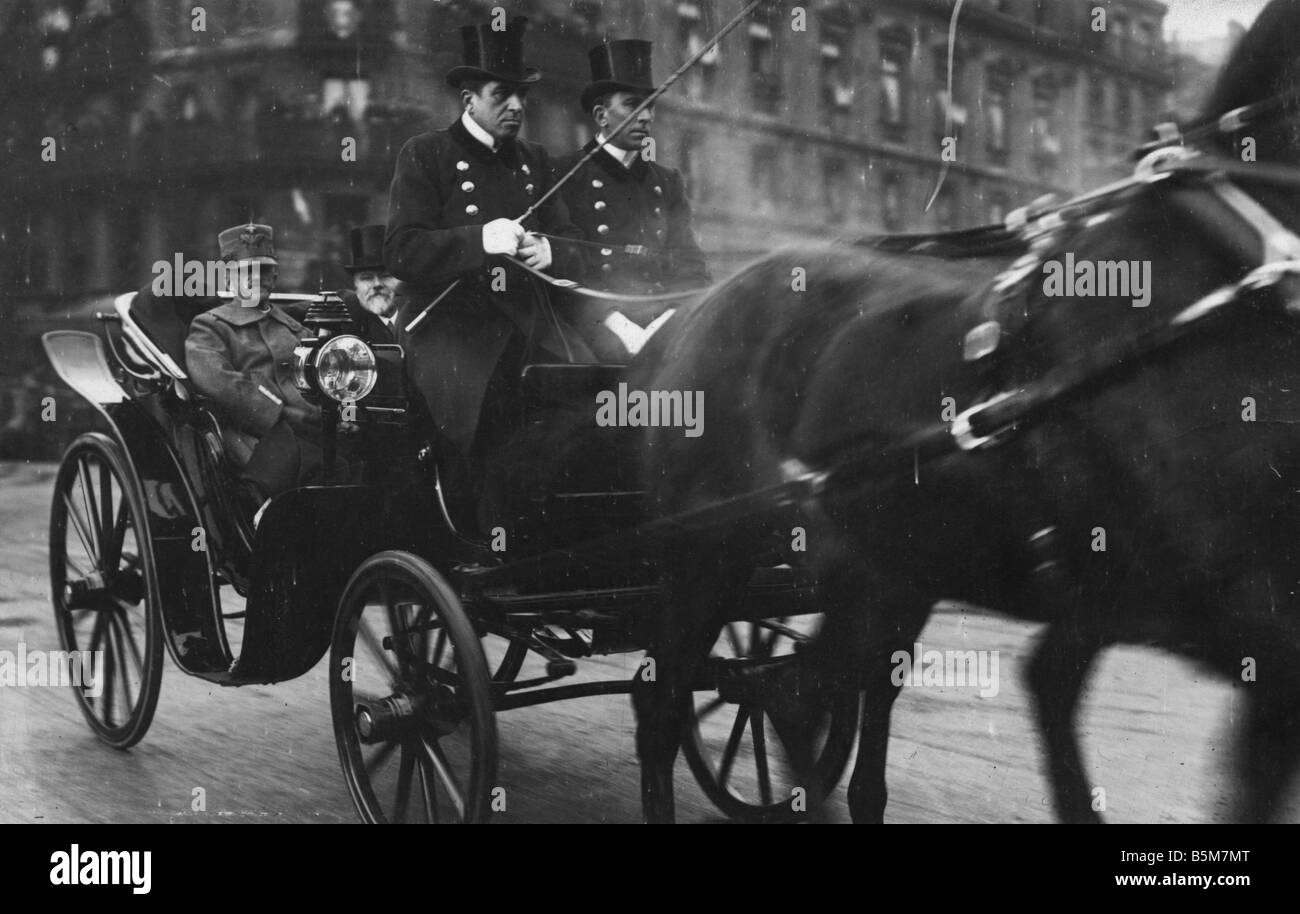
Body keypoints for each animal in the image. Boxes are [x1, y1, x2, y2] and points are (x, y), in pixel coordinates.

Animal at [629, 0, 1300, 826]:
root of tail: (684, 315)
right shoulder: (1235, 609)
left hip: (878, 570)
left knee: (805, 690)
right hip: (707, 557)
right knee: (672, 702)